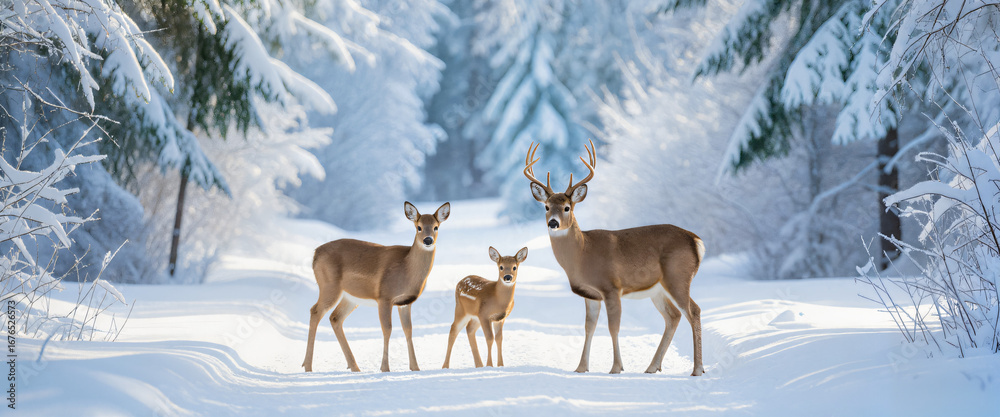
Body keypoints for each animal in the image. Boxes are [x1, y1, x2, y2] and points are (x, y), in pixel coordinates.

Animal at [302, 201, 450, 373]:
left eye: (435, 227)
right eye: (418, 227)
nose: (428, 240)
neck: (406, 269)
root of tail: (315, 254)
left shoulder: (405, 302)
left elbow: (408, 330)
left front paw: (415, 367)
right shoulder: (385, 297)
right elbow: (387, 329)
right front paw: (385, 368)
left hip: (350, 297)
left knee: (335, 318)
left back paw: (354, 367)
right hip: (329, 285)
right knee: (315, 311)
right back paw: (308, 366)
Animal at [523, 141, 705, 376]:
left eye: (567, 207)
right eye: (546, 207)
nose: (553, 222)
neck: (582, 253)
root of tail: (695, 240)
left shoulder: (611, 287)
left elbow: (613, 327)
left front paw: (616, 367)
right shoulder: (590, 294)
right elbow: (589, 327)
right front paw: (581, 367)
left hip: (678, 277)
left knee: (694, 311)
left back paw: (697, 369)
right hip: (658, 288)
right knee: (673, 316)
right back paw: (652, 367)